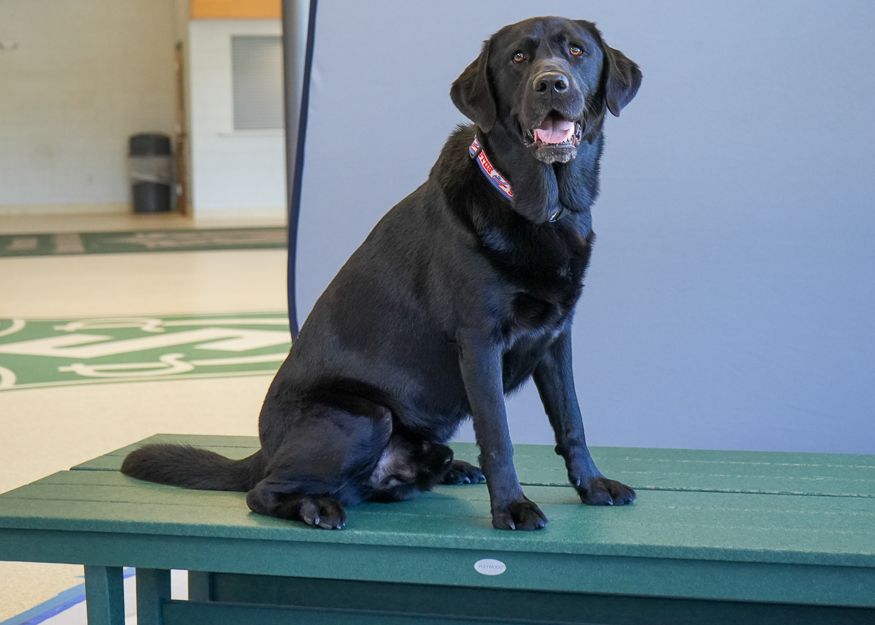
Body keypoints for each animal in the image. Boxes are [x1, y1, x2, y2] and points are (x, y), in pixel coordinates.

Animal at [121, 14, 644, 528]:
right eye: (518, 57)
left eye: (576, 50)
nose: (551, 83)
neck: (536, 207)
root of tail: (264, 450)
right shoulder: (479, 342)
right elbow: (499, 436)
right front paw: (512, 507)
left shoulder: (556, 339)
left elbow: (572, 419)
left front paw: (593, 486)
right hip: (365, 415)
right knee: (263, 492)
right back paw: (315, 507)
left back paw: (447, 469)